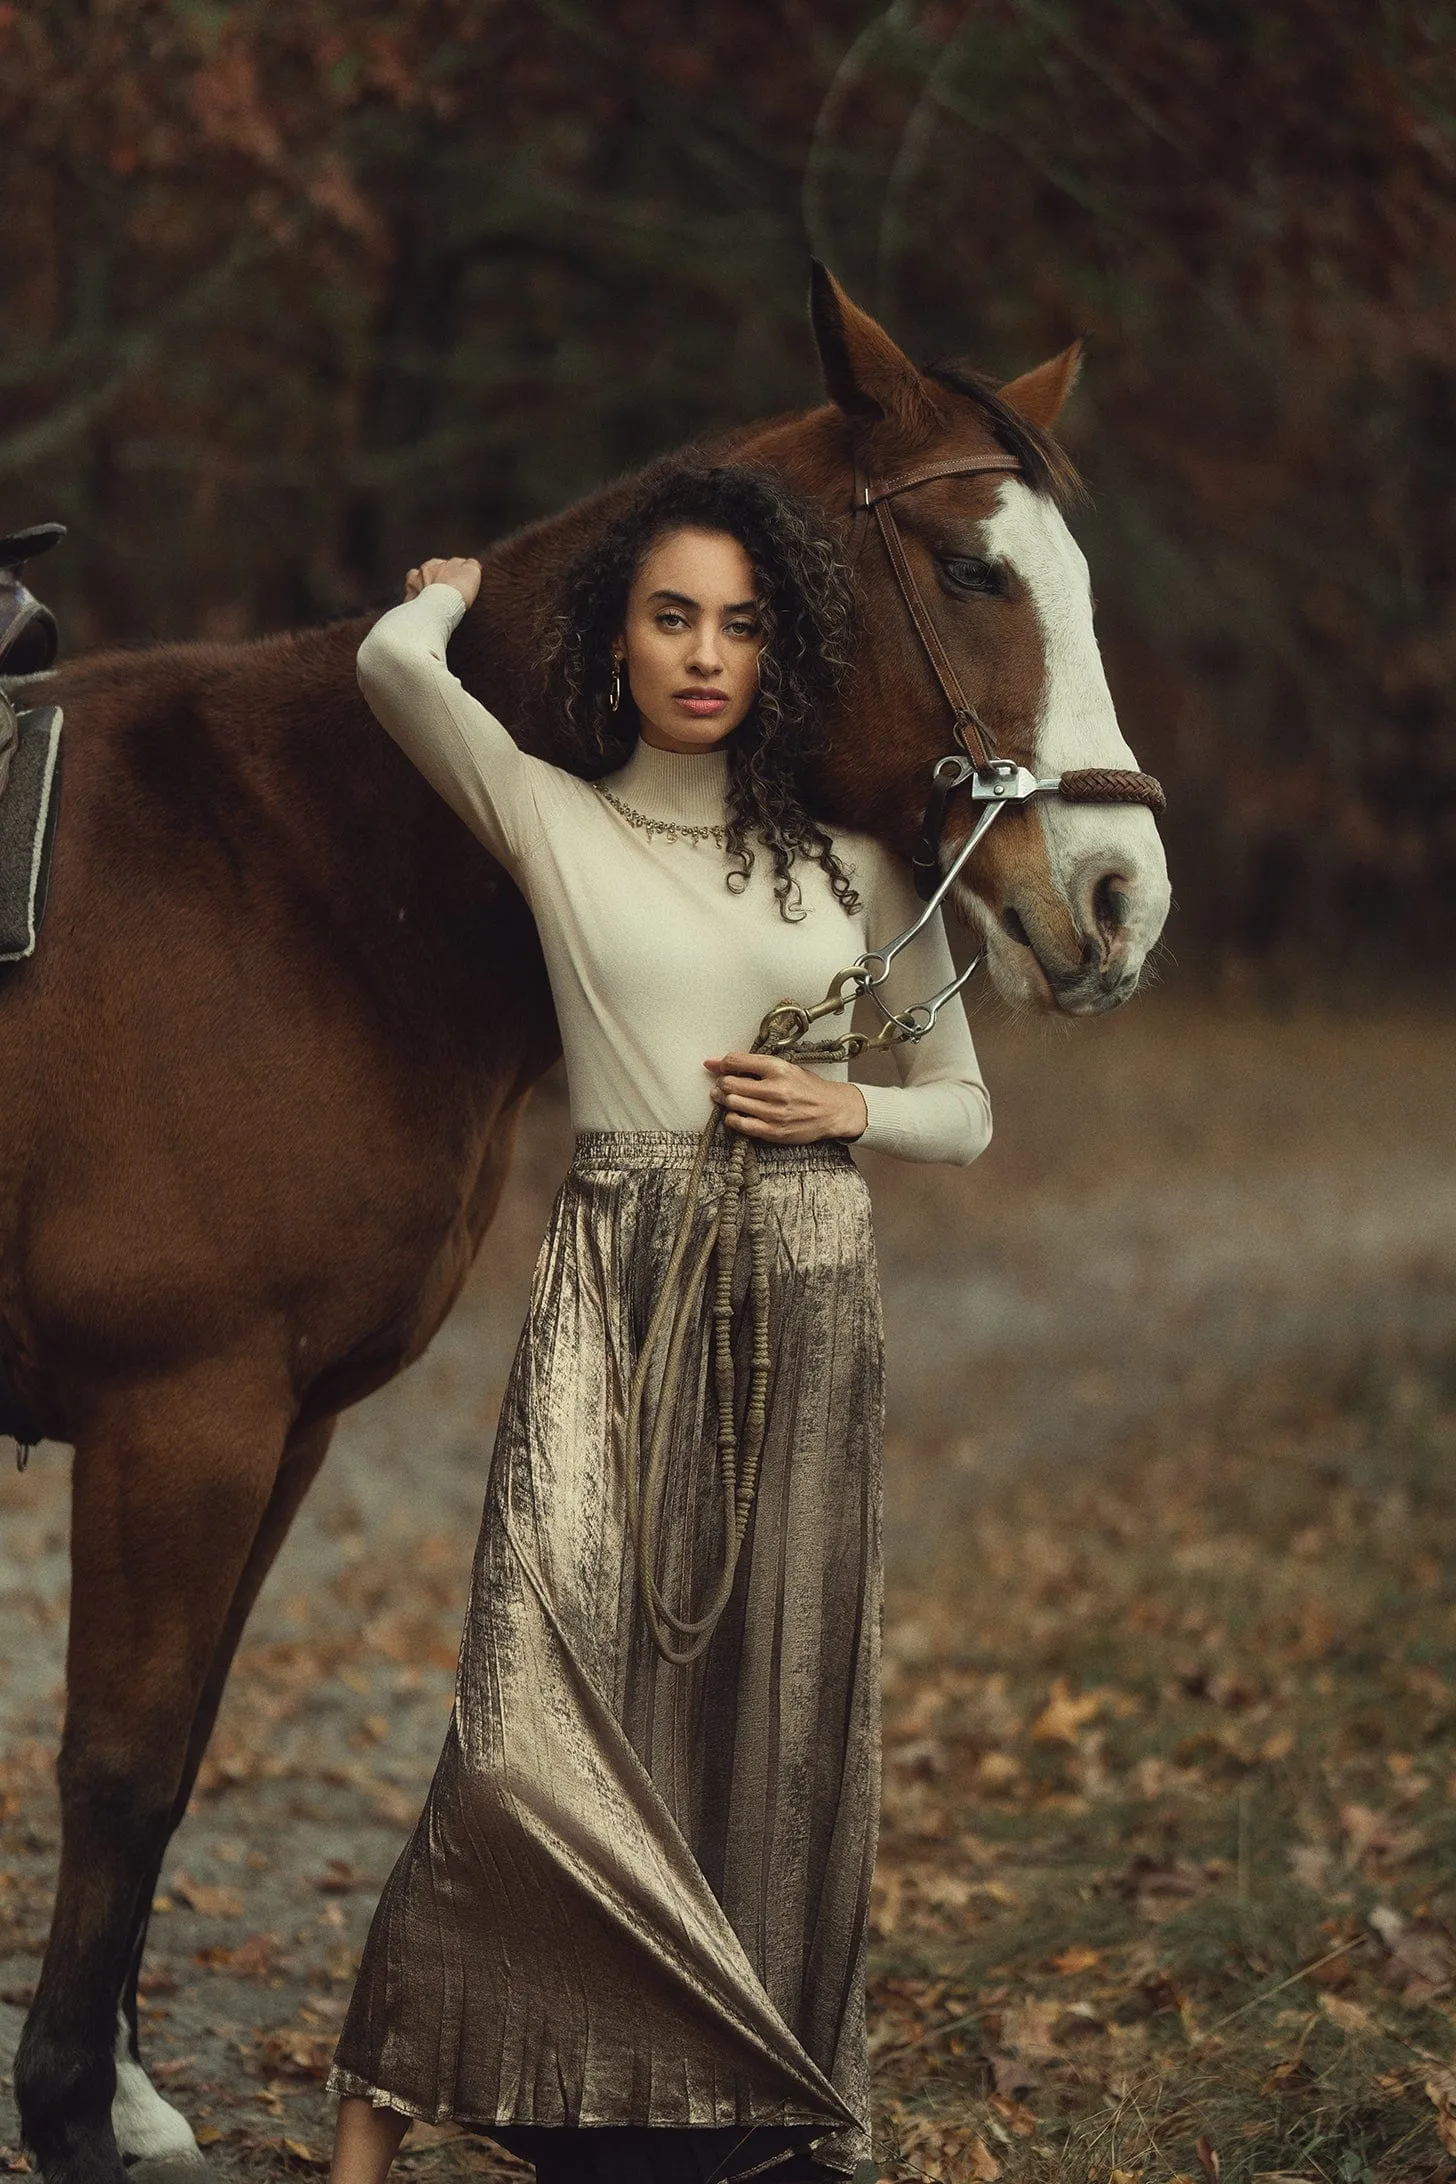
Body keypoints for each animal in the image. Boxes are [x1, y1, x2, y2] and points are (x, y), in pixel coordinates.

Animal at [0, 277, 1161, 2184]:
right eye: (972, 568)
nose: (1125, 898)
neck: (295, 871)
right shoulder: (180, 1413)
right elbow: (118, 1759)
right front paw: (74, 2119)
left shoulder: (282, 1422)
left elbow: (180, 1746)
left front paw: (118, 2089)